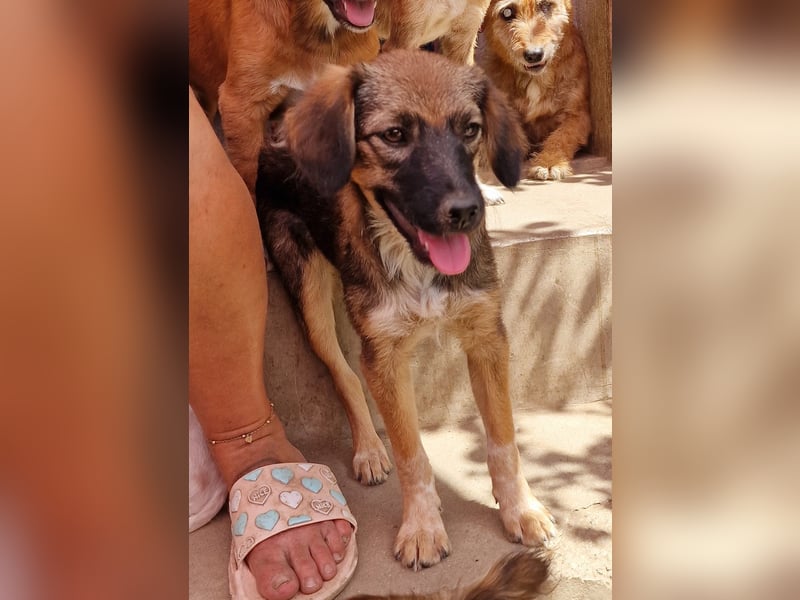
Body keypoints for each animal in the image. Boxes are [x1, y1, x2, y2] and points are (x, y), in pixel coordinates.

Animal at [255, 49, 557, 570]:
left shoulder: (486, 336)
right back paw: (369, 450)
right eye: (394, 134)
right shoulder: (385, 356)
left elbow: (503, 439)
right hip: (307, 288)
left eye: (470, 129)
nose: (466, 211)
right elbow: (410, 452)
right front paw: (421, 526)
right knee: (342, 370)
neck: (415, 262)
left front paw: (520, 508)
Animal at [477, 0, 591, 180]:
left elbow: (561, 136)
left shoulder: (577, 115)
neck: (535, 79)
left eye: (545, 5)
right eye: (507, 12)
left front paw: (549, 162)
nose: (534, 55)